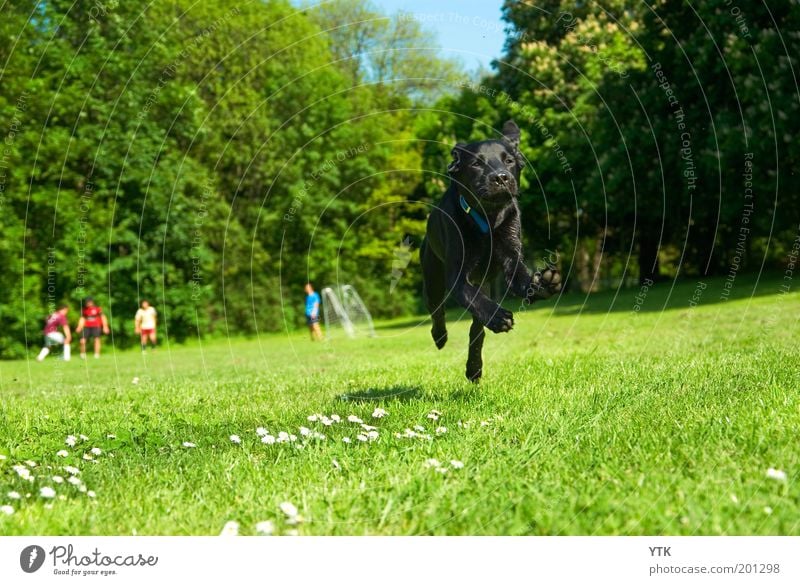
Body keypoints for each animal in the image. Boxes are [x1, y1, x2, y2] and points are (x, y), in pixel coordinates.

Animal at [418, 121, 564, 380]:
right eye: (477, 163)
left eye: (509, 161)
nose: (501, 177)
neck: (488, 218)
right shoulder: (457, 275)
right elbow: (473, 298)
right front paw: (499, 317)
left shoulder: (511, 255)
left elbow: (521, 279)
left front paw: (545, 283)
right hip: (432, 277)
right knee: (437, 311)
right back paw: (440, 338)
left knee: (476, 329)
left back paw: (474, 368)